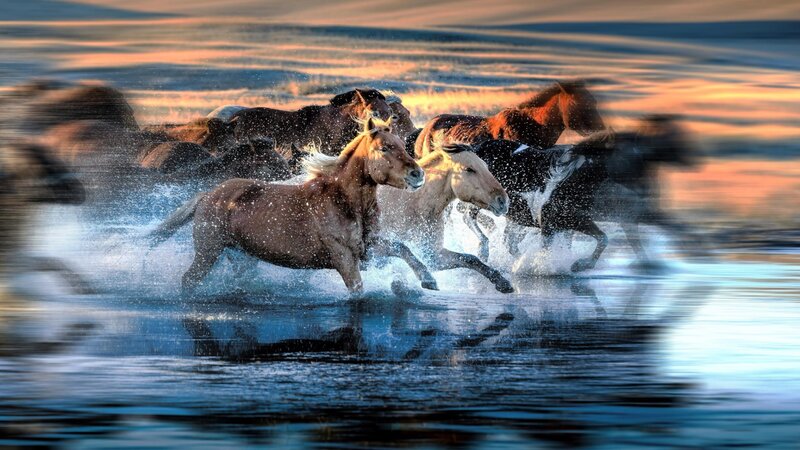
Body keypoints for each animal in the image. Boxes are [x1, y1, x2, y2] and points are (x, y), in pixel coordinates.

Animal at [149, 115, 437, 295]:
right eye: (383, 148)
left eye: (401, 145)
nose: (418, 174)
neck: (344, 203)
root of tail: (208, 195)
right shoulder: (344, 258)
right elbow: (358, 290)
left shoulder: (368, 249)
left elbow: (403, 248)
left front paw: (429, 281)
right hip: (208, 252)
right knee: (189, 280)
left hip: (242, 258)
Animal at [378, 142, 513, 293]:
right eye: (469, 169)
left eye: (486, 167)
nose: (503, 201)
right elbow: (401, 247)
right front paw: (428, 279)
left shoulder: (433, 255)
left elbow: (470, 259)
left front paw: (502, 282)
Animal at [472, 115, 698, 272]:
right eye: (630, 159)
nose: (645, 192)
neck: (571, 181)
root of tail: (478, 147)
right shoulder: (556, 222)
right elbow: (600, 239)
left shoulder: (578, 220)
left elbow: (605, 238)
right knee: (473, 218)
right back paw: (485, 248)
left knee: (507, 237)